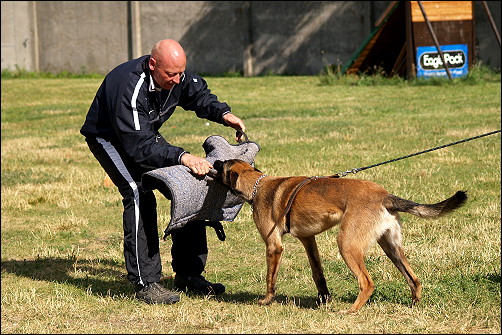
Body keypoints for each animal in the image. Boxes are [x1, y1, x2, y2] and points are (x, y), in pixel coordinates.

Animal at [211, 159, 466, 314]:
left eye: (223, 164)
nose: (214, 161)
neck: (256, 184)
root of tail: (384, 195)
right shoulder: (309, 240)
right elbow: (318, 273)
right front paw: (323, 298)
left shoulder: (274, 246)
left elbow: (269, 278)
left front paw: (266, 300)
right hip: (391, 248)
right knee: (414, 278)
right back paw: (414, 304)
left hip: (347, 244)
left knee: (367, 282)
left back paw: (352, 310)